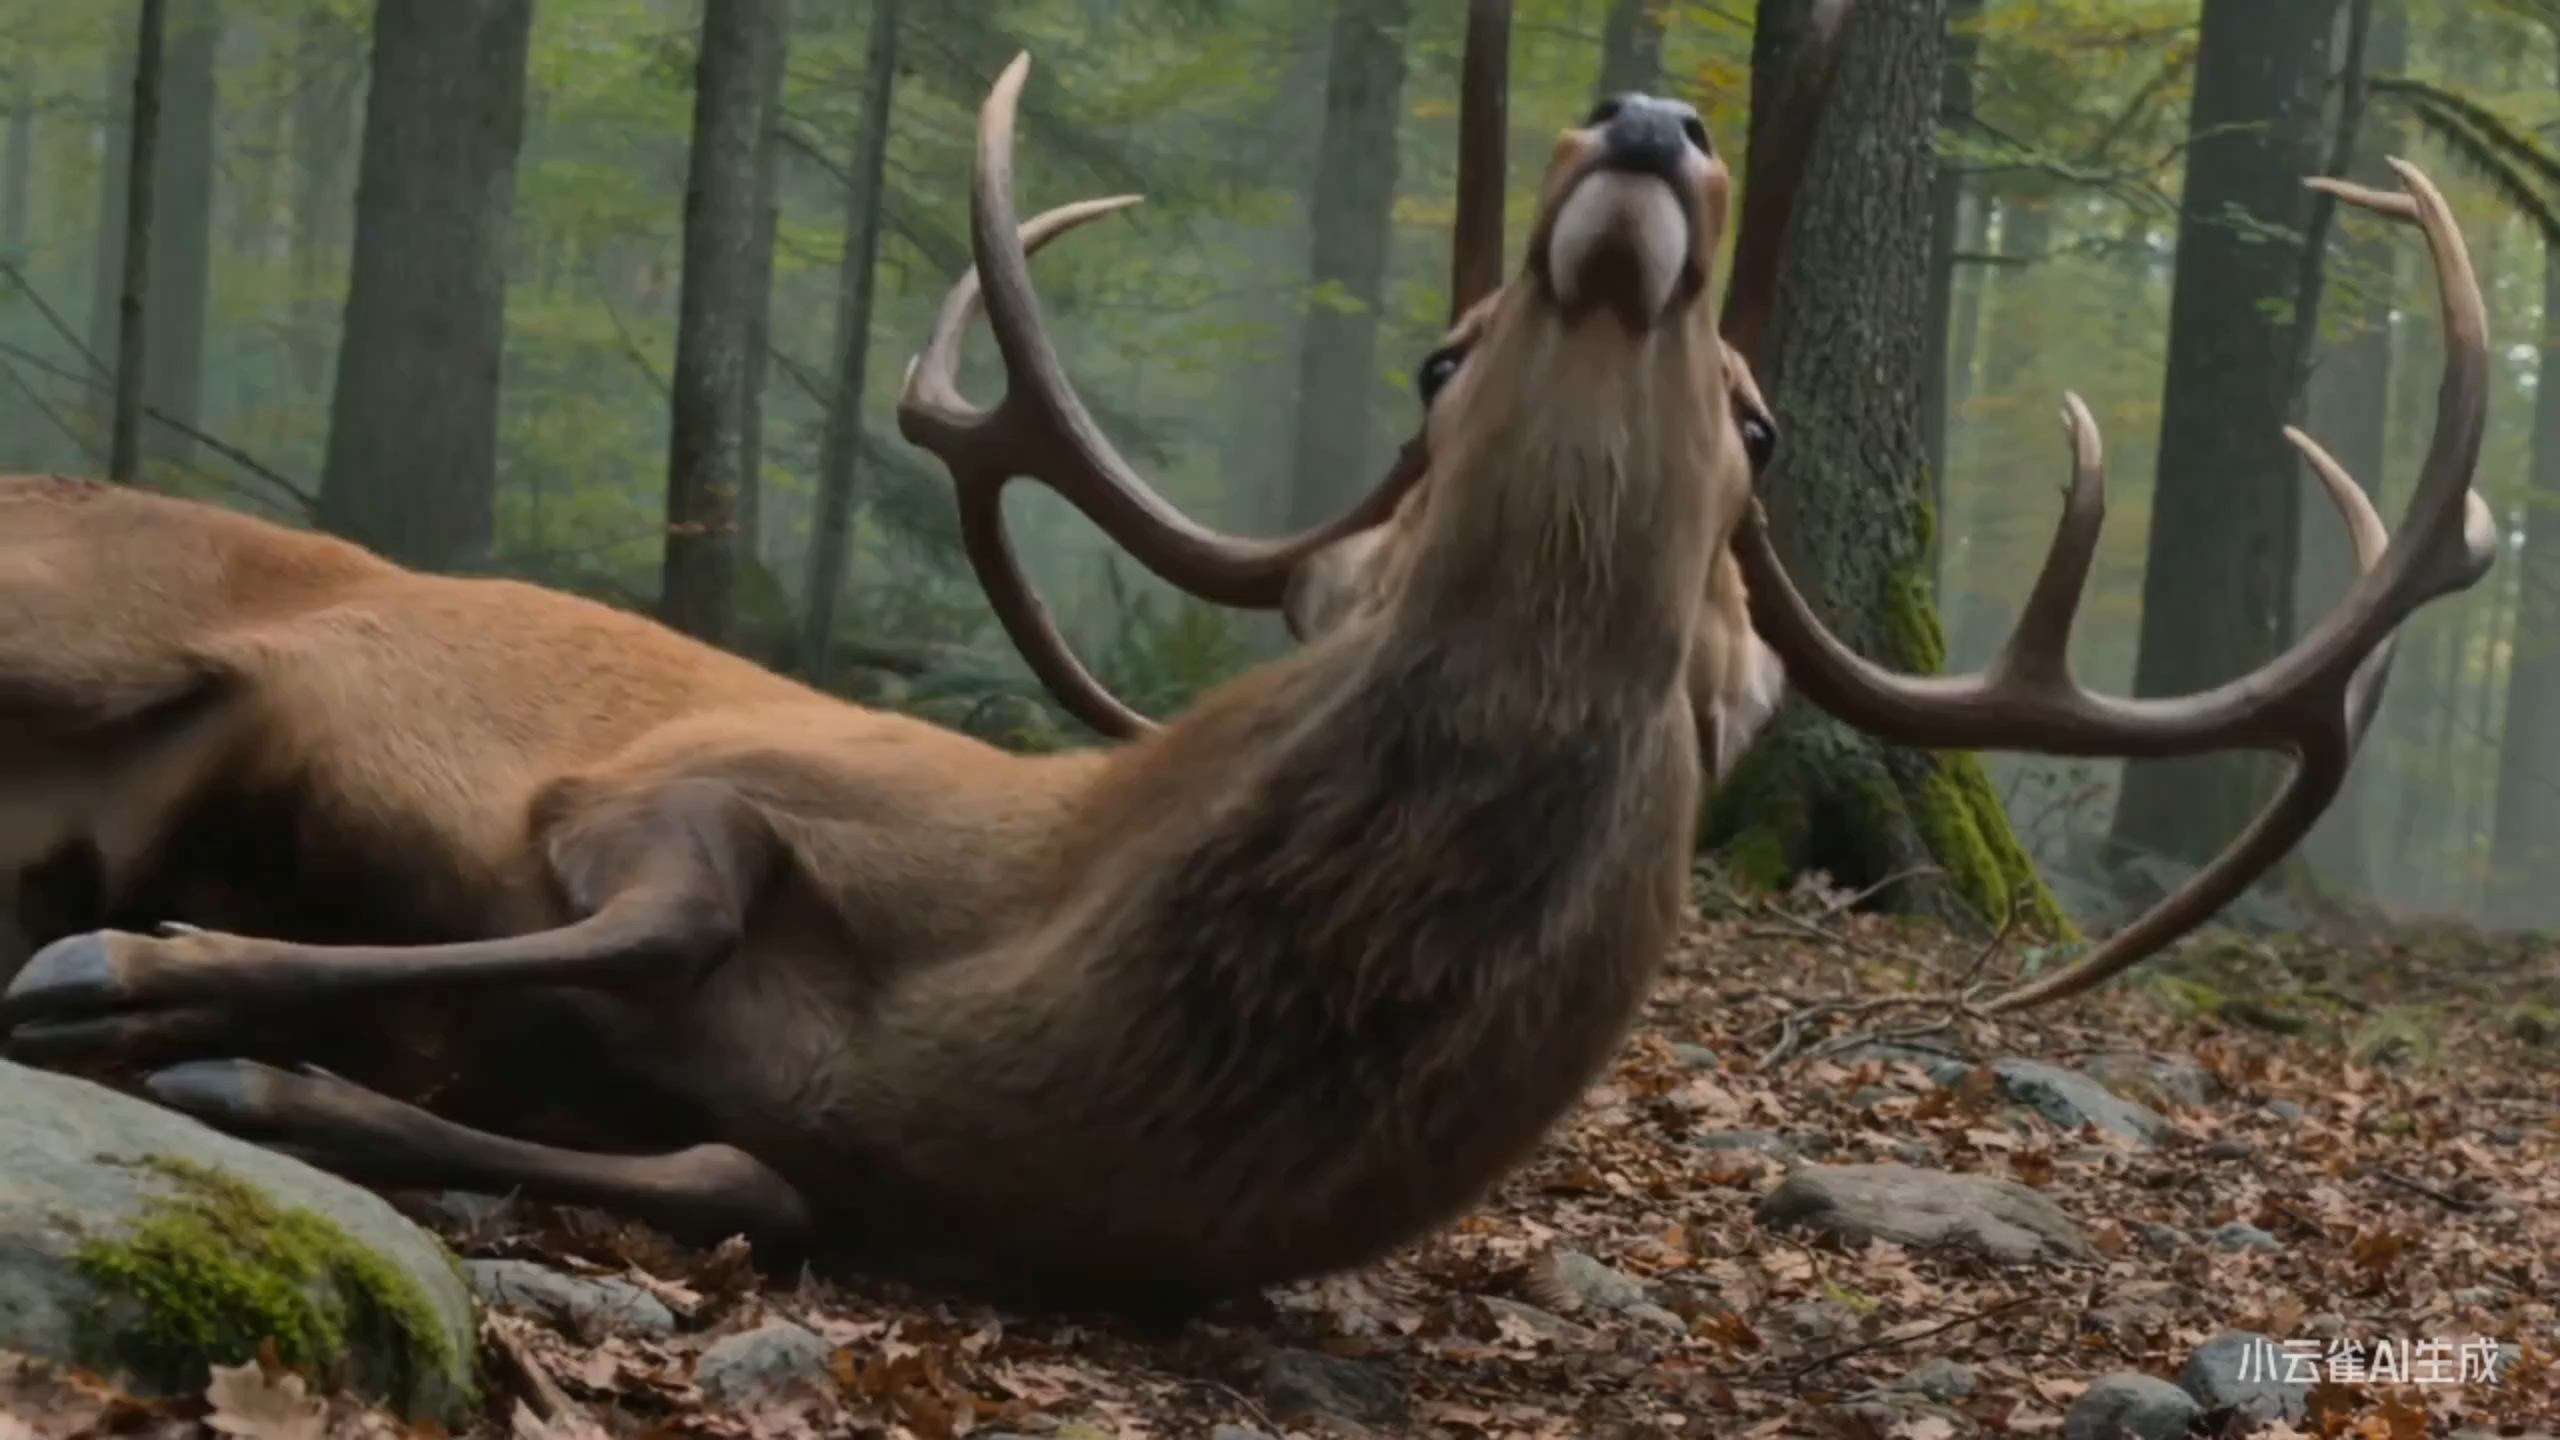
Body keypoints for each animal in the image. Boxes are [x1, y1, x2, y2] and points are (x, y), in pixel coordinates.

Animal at [0, 0, 2492, 1319]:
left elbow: (742, 1177)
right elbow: (674, 900)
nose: (1646, 112)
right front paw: (126, 977)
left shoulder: (891, 1178)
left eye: (1763, 423)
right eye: (1430, 349)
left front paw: (231, 1058)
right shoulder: (695, 784)